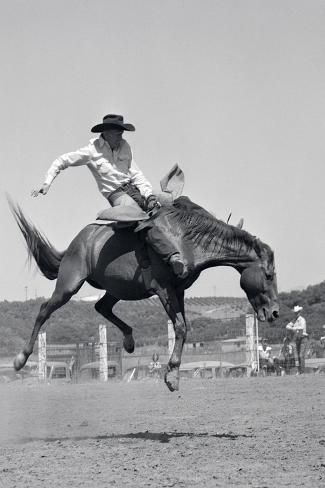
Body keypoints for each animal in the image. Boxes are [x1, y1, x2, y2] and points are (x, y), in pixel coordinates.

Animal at [10, 181, 278, 390]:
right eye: (268, 274)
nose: (274, 312)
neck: (186, 238)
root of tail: (77, 243)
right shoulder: (163, 289)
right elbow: (180, 327)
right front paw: (171, 375)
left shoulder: (178, 290)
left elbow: (183, 327)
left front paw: (173, 374)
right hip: (69, 284)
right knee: (45, 309)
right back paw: (20, 358)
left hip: (118, 288)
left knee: (101, 307)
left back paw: (129, 341)